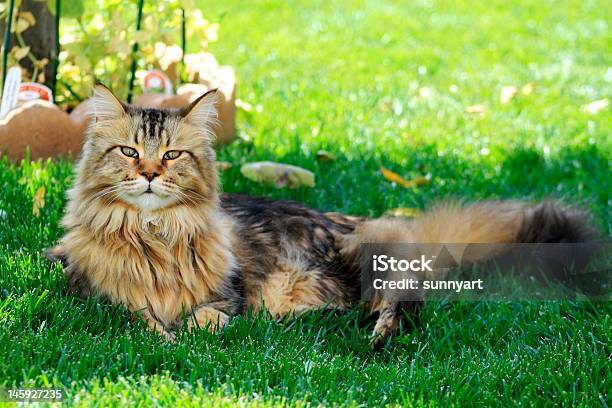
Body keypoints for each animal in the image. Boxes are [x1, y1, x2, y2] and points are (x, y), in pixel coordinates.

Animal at [46, 85, 592, 348]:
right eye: (129, 151)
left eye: (172, 155)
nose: (150, 174)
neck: (154, 234)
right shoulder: (92, 294)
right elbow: (137, 317)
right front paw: (163, 334)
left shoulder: (226, 296)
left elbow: (207, 319)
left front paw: (186, 335)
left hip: (369, 255)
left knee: (406, 304)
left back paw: (376, 335)